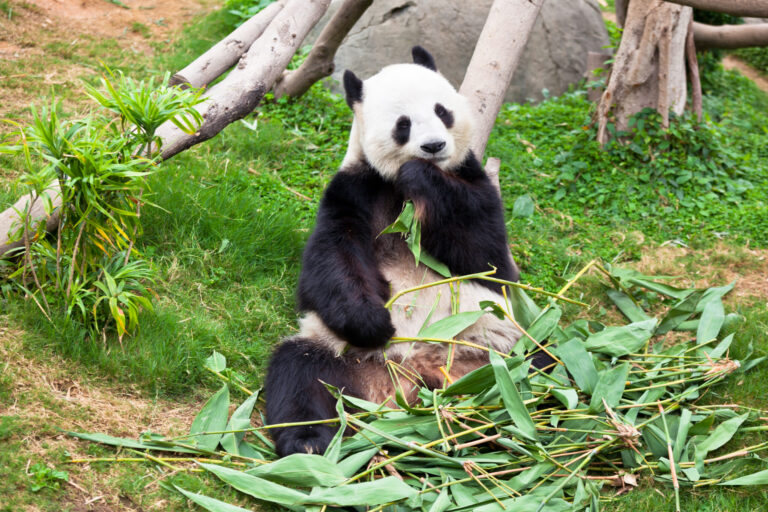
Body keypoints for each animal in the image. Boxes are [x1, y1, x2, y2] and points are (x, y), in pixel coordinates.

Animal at [266, 46, 526, 457]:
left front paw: (423, 177)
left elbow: (484, 253)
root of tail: (413, 378)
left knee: (546, 363)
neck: (396, 186)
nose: (433, 146)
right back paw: (307, 443)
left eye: (442, 111)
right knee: (298, 372)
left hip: (497, 351)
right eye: (403, 124)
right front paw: (374, 322)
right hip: (341, 354)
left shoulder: (472, 180)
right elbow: (333, 261)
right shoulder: (354, 189)